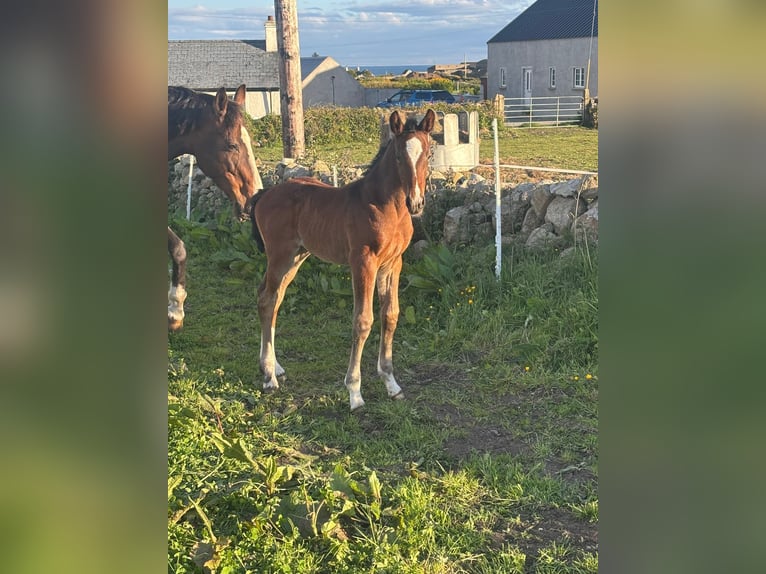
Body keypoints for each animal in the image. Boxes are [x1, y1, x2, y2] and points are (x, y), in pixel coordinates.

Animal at [251, 109, 436, 411]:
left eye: (429, 153)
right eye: (398, 155)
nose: (416, 203)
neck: (386, 206)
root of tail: (266, 193)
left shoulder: (393, 263)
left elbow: (390, 315)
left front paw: (391, 384)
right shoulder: (363, 262)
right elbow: (362, 321)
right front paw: (355, 392)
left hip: (296, 257)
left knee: (273, 298)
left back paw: (275, 367)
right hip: (280, 255)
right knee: (267, 299)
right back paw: (268, 377)